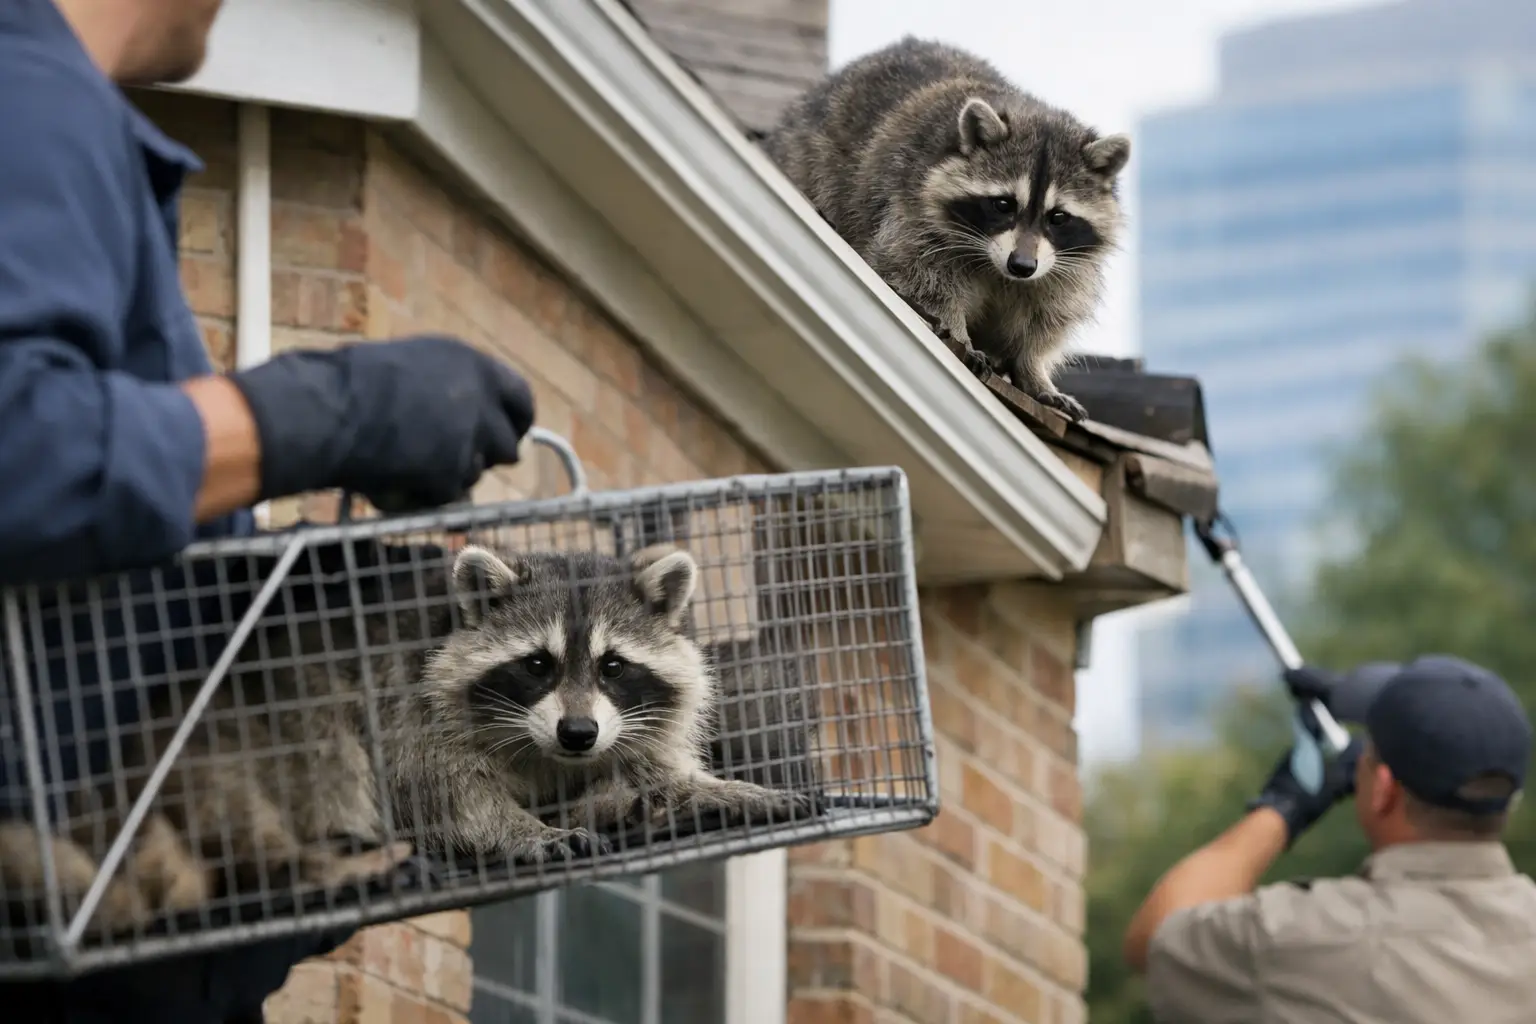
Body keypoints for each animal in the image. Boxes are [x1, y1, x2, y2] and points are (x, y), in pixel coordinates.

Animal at [762, 36, 1131, 421]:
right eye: (1003, 204)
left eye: (1058, 217)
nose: (1021, 266)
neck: (997, 269)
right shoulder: (911, 212)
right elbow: (920, 275)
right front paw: (957, 332)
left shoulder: (1060, 266)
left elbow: (1045, 316)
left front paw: (1032, 368)